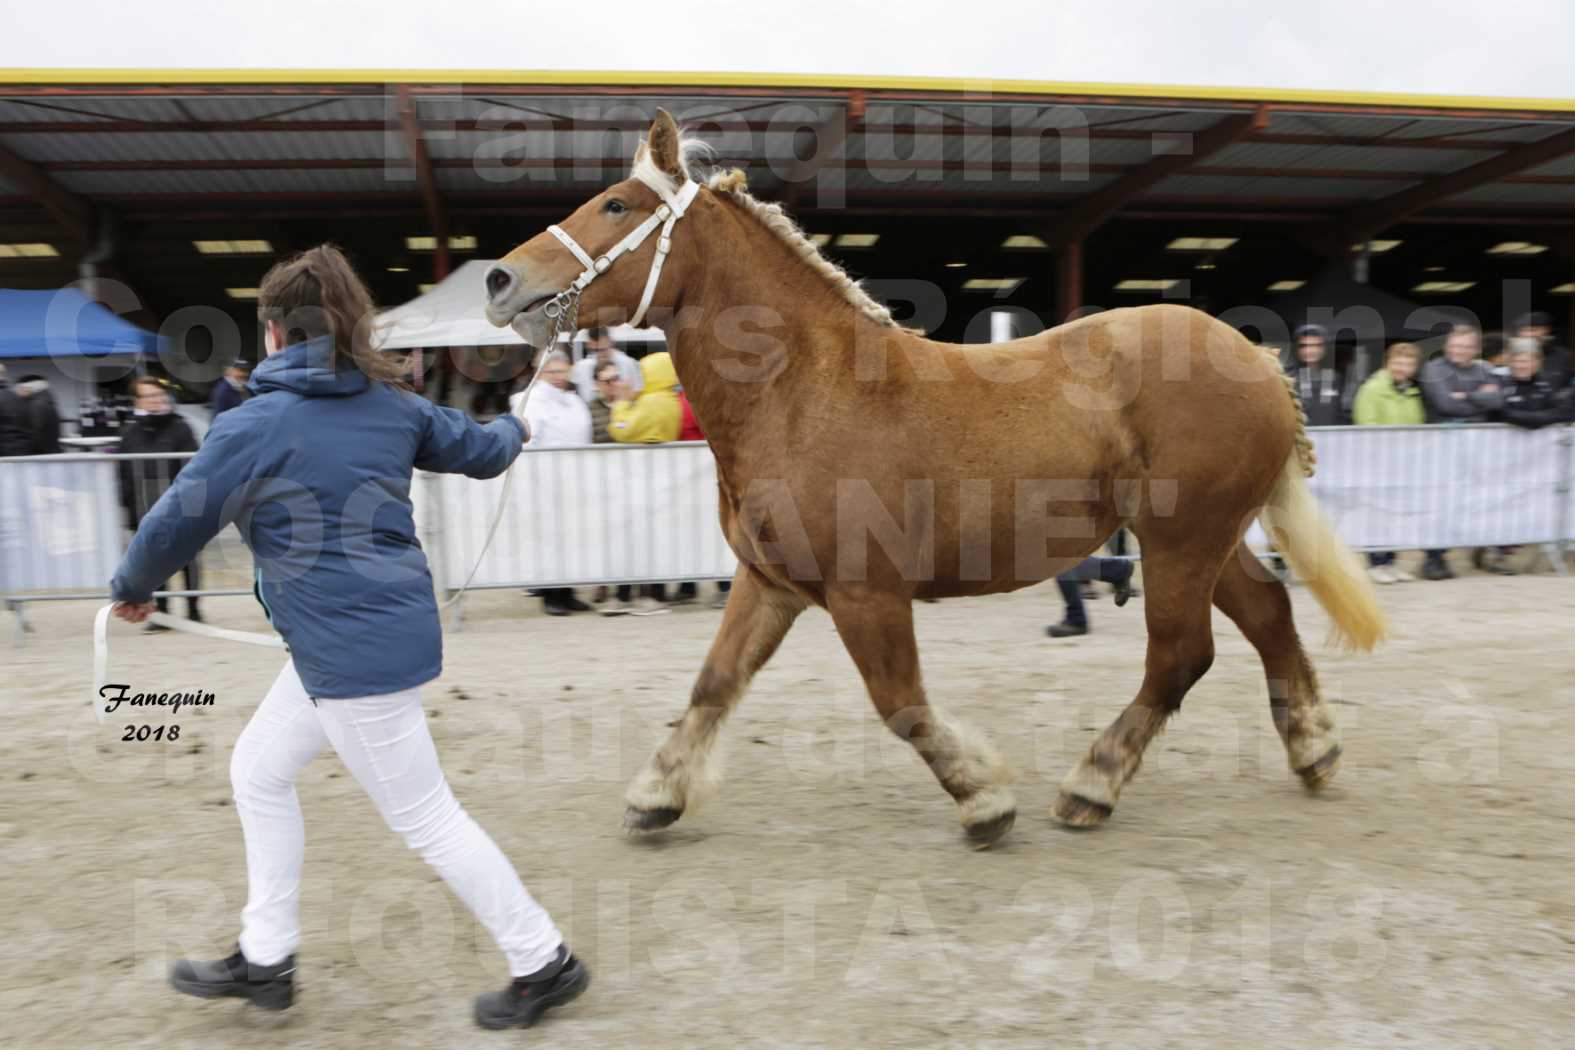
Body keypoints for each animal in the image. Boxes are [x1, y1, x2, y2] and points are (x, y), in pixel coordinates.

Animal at [485, 110, 1386, 850]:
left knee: (1178, 657)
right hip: (1200, 540)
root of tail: (1260, 361)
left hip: (1180, 542)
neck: (802, 388)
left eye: (615, 206)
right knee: (1266, 614)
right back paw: (1313, 748)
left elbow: (900, 703)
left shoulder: (866, 593)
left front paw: (983, 799)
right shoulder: (769, 583)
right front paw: (657, 795)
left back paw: (1090, 785)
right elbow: (713, 684)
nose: (498, 280)